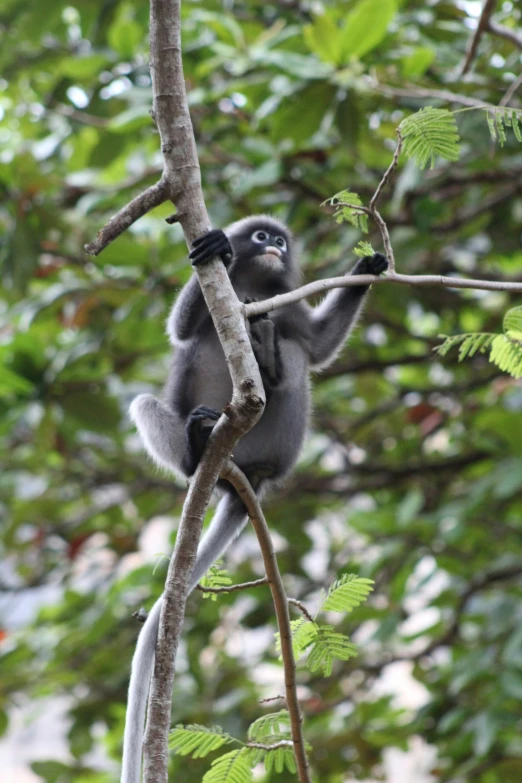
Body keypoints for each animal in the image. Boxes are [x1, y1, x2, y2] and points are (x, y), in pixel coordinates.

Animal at [119, 216, 386, 783]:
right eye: (262, 238)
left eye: (280, 241)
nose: (276, 247)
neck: (255, 288)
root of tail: (245, 475)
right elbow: (181, 331)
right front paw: (213, 246)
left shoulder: (286, 304)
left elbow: (319, 347)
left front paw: (366, 267)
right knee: (148, 403)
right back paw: (197, 447)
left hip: (282, 439)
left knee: (295, 355)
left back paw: (268, 360)